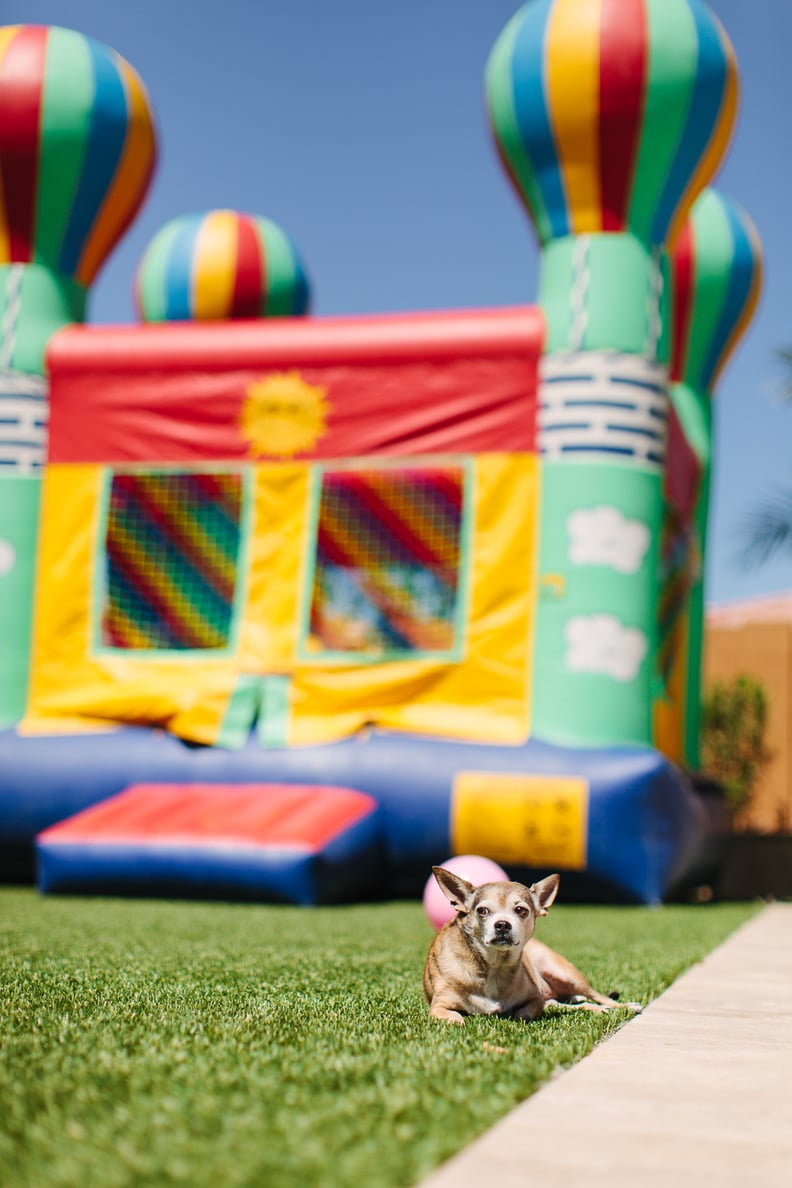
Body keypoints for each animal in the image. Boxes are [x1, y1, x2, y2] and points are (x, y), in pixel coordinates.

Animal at [425, 864, 641, 1021]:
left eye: (521, 910)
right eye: (482, 911)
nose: (502, 925)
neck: (494, 967)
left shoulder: (536, 998)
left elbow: (524, 1012)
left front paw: (512, 1013)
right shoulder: (438, 1006)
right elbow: (456, 1019)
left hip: (564, 973)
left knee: (597, 997)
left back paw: (625, 1006)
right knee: (573, 1004)